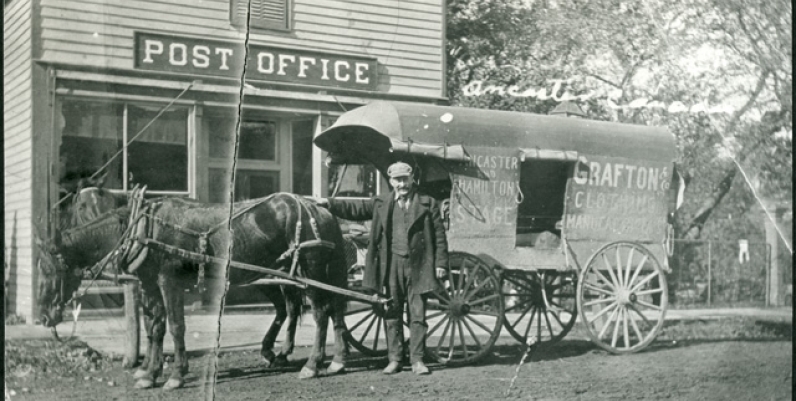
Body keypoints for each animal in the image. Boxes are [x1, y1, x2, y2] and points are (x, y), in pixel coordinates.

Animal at [38, 189, 348, 390]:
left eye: (48, 269)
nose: (43, 317)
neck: (143, 228)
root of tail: (320, 208)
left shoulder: (169, 281)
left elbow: (176, 326)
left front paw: (176, 375)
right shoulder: (151, 284)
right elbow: (154, 327)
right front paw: (148, 373)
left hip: (310, 269)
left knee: (320, 313)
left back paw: (312, 364)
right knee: (322, 310)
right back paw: (332, 359)